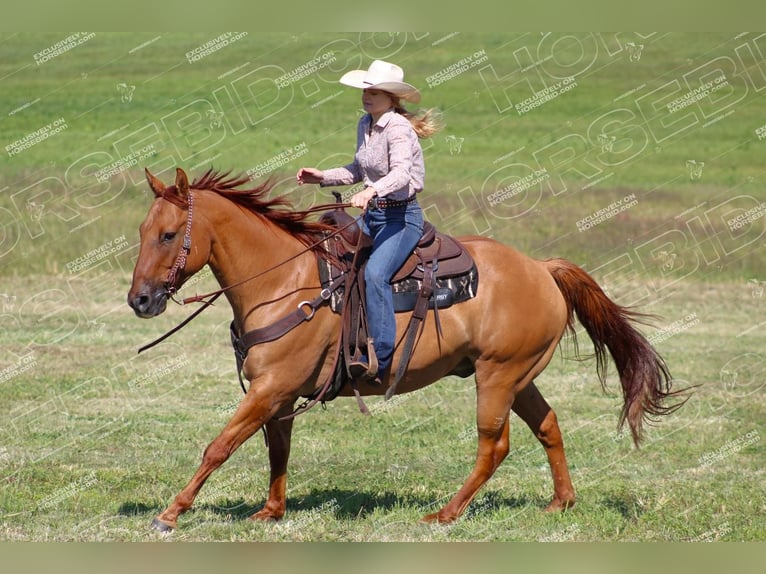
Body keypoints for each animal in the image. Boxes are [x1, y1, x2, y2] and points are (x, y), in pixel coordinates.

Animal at [127, 168, 688, 536]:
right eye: (142, 232)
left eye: (169, 234)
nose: (140, 300)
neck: (285, 282)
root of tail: (541, 268)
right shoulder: (278, 394)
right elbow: (276, 449)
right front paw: (271, 510)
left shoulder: (269, 389)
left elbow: (219, 446)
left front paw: (171, 513)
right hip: (520, 376)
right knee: (548, 425)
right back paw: (560, 503)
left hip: (497, 377)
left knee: (494, 445)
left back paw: (446, 513)